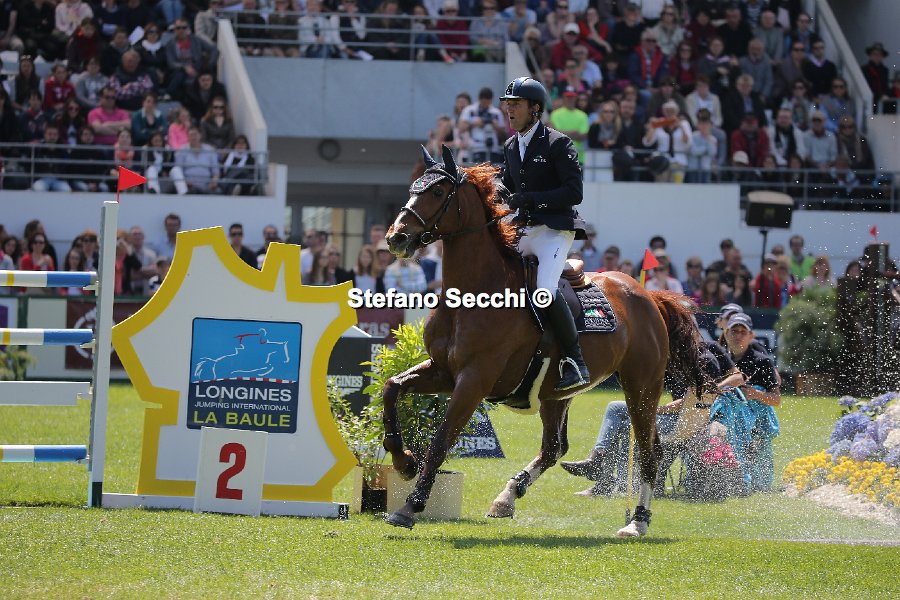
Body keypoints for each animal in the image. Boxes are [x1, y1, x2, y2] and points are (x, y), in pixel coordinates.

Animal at [381, 146, 705, 537]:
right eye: (414, 187)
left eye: (438, 192)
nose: (396, 238)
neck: (474, 294)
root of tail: (647, 294)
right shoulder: (444, 370)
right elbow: (392, 387)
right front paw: (403, 461)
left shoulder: (474, 380)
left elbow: (442, 438)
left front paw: (409, 506)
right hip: (556, 393)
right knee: (554, 447)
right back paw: (506, 498)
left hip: (641, 386)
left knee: (647, 448)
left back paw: (637, 522)